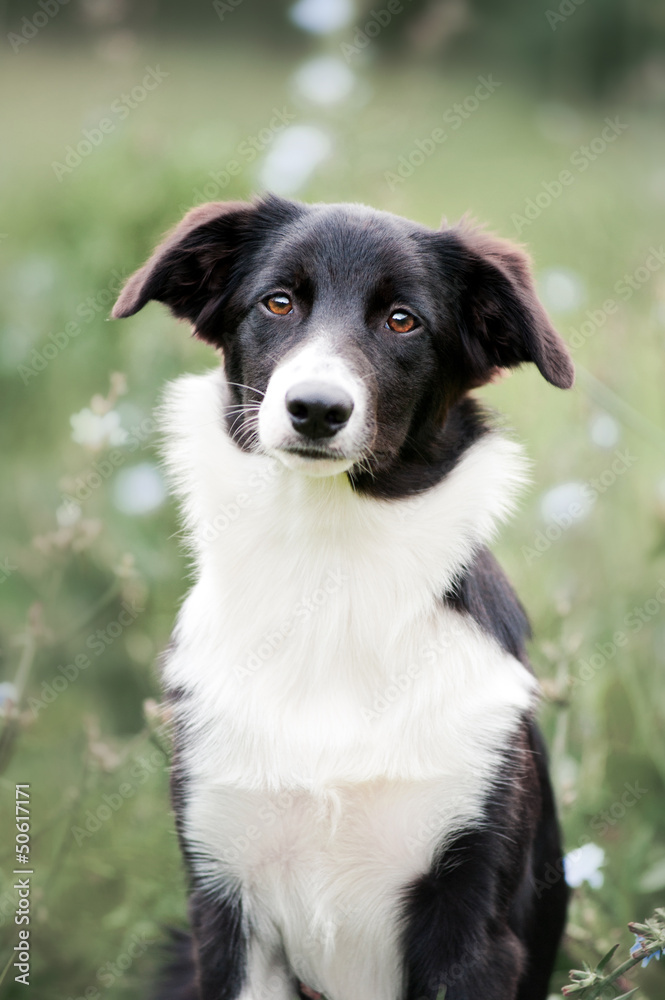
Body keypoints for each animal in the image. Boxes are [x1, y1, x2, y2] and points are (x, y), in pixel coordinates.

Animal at [113, 195, 572, 1000]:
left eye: (402, 320)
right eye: (278, 302)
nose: (317, 408)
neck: (330, 576)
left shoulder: (473, 925)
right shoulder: (226, 911)